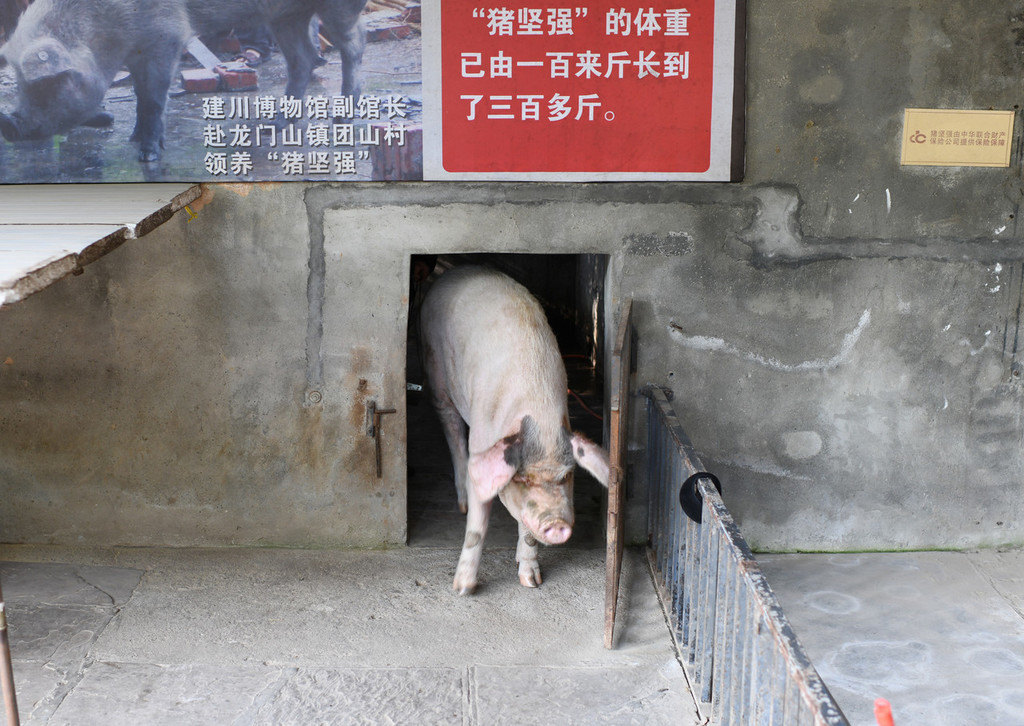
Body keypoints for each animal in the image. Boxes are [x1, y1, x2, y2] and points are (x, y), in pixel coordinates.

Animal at [0, 0, 368, 159]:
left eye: (46, 83)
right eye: (17, 81)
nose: (9, 124)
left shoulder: (167, 37)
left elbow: (153, 98)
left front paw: (147, 155)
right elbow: (139, 95)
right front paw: (133, 138)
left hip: (339, 7)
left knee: (355, 44)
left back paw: (343, 117)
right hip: (286, 14)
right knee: (302, 58)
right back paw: (274, 126)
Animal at [419, 266, 610, 593]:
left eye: (567, 475)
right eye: (522, 478)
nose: (557, 524)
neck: (539, 414)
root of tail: (450, 273)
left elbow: (528, 530)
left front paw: (531, 582)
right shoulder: (483, 446)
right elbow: (477, 527)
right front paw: (463, 589)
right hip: (437, 375)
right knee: (452, 430)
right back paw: (462, 504)